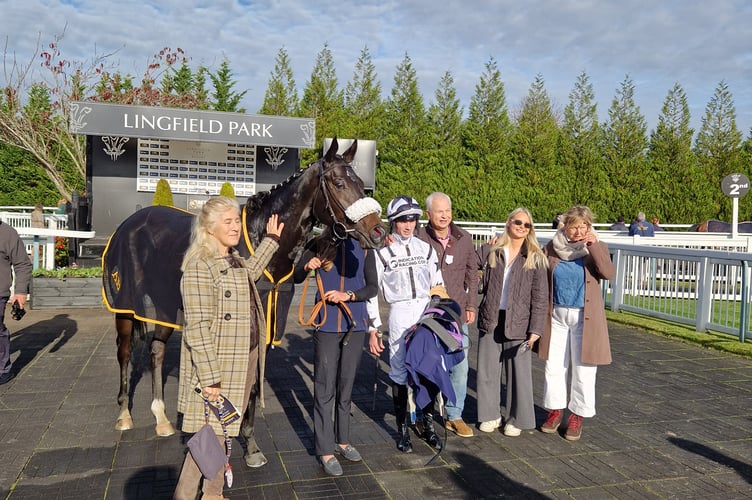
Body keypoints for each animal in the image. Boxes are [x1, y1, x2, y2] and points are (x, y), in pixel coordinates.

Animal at [100, 139, 384, 466]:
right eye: (339, 183)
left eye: (361, 183)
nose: (378, 231)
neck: (261, 242)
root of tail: (130, 223)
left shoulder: (267, 322)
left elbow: (253, 383)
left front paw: (250, 445)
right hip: (126, 305)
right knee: (124, 353)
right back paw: (124, 415)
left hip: (165, 306)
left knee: (156, 351)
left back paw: (161, 418)